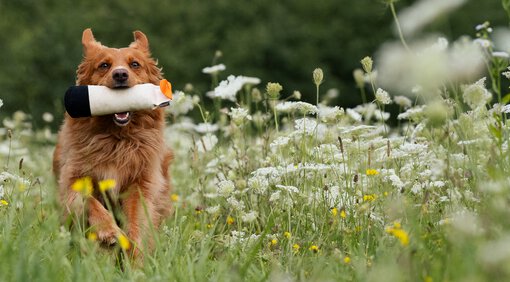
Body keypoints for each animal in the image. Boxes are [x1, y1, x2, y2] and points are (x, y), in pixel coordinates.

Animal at [53, 28, 173, 256]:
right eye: (104, 65)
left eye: (134, 64)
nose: (120, 74)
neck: (117, 141)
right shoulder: (72, 179)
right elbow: (89, 201)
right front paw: (108, 231)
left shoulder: (140, 185)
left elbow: (137, 221)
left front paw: (134, 252)